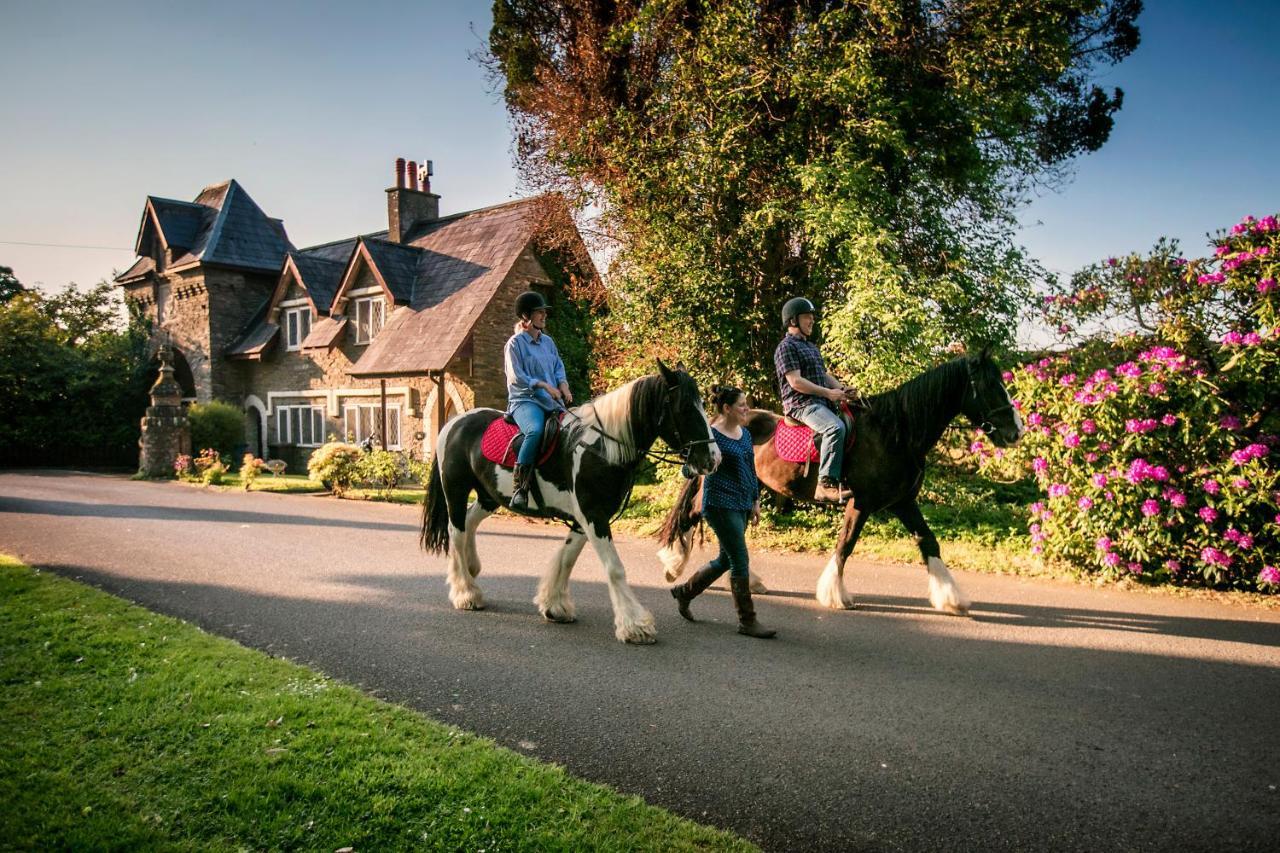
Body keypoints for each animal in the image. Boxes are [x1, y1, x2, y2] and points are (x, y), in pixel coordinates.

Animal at [422, 356, 721, 640]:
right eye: (685, 408)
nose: (713, 458)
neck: (601, 448)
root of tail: (454, 423)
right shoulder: (593, 515)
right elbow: (614, 568)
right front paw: (634, 625)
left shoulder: (585, 517)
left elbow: (567, 558)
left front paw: (554, 606)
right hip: (456, 490)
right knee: (456, 531)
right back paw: (466, 593)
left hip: (489, 495)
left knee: (469, 522)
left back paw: (471, 569)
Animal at [655, 348, 1024, 614]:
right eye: (991, 386)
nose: (1017, 431)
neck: (895, 432)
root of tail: (714, 430)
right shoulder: (861, 502)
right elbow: (846, 544)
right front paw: (834, 594)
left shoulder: (903, 503)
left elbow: (928, 542)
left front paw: (951, 597)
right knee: (692, 516)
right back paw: (672, 565)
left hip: (752, 488)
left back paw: (752, 580)